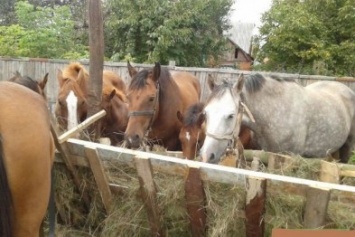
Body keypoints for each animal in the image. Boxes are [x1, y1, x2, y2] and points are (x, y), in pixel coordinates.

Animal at [202, 73, 355, 163]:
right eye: (206, 113)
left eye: (231, 115)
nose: (206, 155)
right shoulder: (267, 154)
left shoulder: (288, 158)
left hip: (347, 146)